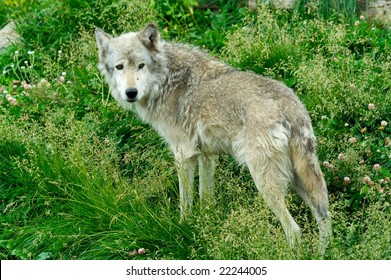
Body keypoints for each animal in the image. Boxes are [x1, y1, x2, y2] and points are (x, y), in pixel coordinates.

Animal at [95, 23, 330, 252]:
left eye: (141, 65)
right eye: (119, 67)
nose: (131, 92)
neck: (166, 80)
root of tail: (291, 107)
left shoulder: (183, 154)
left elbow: (186, 199)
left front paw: (184, 225)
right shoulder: (207, 155)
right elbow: (205, 196)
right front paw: (206, 222)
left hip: (265, 181)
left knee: (294, 230)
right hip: (303, 180)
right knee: (324, 217)